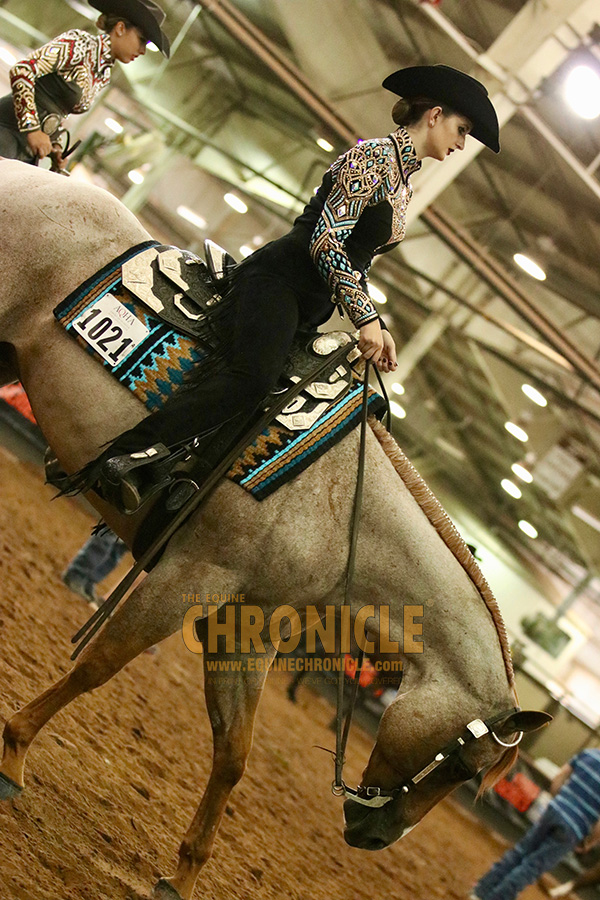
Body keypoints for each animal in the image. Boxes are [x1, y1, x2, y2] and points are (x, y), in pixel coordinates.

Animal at [0, 161, 550, 900]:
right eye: (466, 770)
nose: (375, 837)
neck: (347, 518)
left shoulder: (248, 626)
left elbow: (234, 751)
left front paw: (184, 876)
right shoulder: (190, 579)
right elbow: (98, 667)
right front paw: (14, 755)